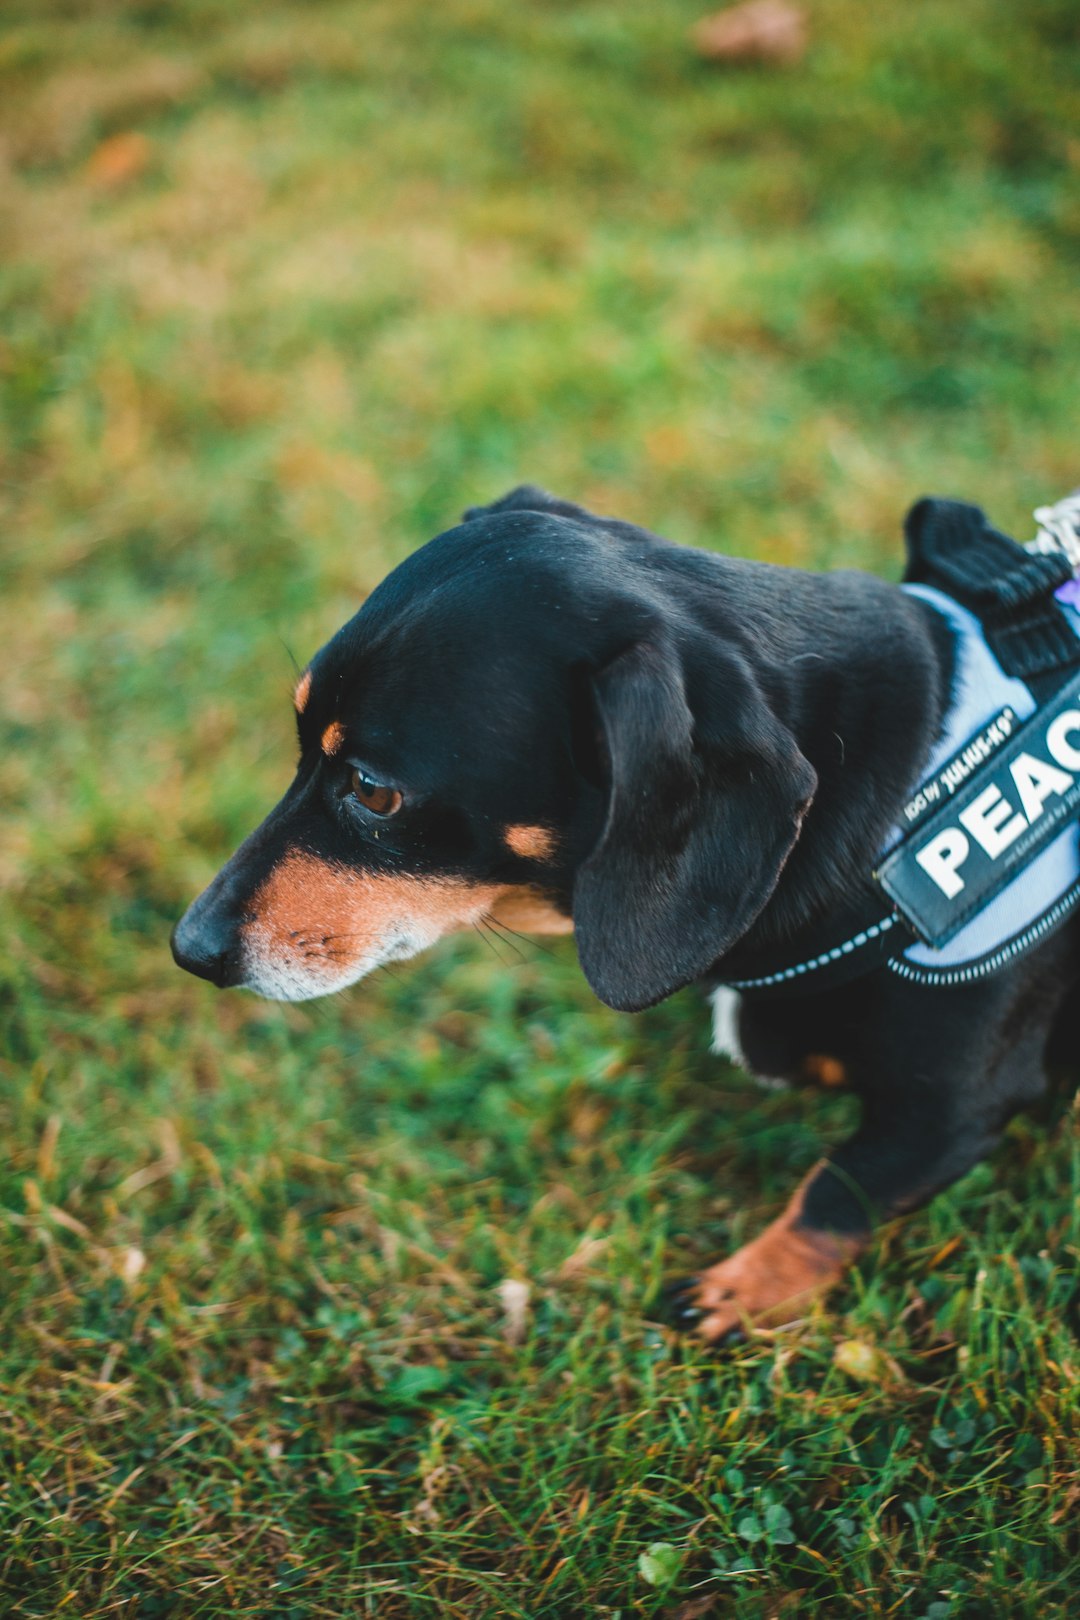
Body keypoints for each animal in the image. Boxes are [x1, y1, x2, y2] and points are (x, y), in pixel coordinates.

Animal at [173, 486, 1075, 1347]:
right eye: (298, 744)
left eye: (373, 791)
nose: (190, 949)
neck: (907, 796)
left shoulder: (951, 1109)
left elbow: (835, 1193)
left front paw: (739, 1290)